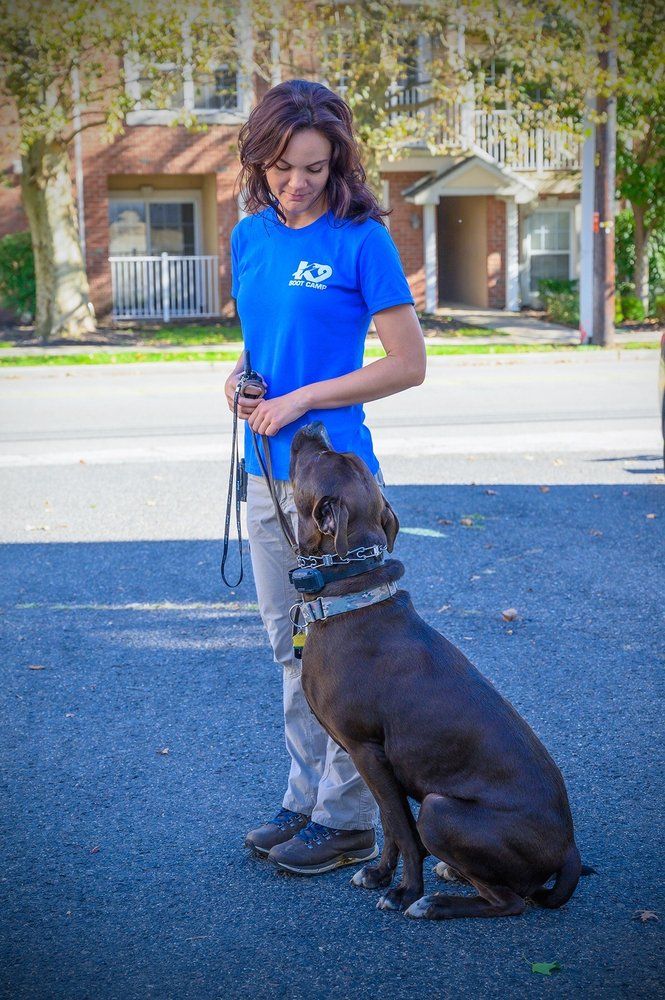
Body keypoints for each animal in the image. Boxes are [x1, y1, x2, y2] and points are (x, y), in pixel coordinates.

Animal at [288, 422, 580, 920]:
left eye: (321, 458)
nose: (313, 424)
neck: (352, 598)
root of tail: (569, 850)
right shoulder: (370, 760)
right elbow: (389, 821)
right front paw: (378, 874)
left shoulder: (368, 751)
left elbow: (404, 830)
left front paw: (404, 891)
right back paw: (451, 874)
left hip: (441, 810)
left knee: (510, 901)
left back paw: (435, 902)